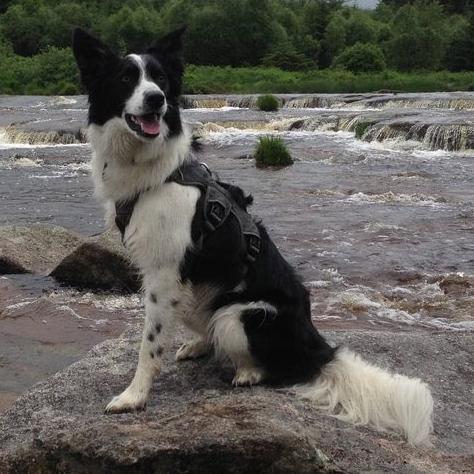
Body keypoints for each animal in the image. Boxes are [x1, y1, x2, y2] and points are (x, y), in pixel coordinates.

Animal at [73, 27, 434, 446]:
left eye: (160, 79)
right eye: (125, 79)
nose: (157, 100)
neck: (153, 170)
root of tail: (318, 351)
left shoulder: (163, 273)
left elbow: (149, 344)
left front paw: (134, 397)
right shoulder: (165, 277)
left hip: (241, 314)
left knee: (264, 362)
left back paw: (246, 372)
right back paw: (199, 344)